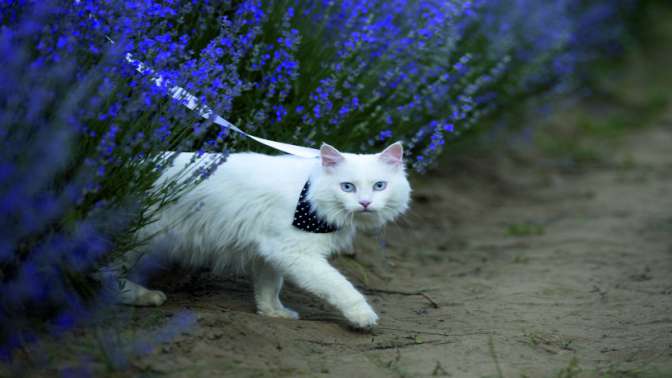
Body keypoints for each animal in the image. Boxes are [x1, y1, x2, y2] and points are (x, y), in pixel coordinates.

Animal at [115, 142, 410, 328]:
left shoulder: (271, 252)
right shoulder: (295, 253)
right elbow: (341, 286)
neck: (309, 194)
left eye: (379, 186)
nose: (365, 203)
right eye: (347, 187)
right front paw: (363, 316)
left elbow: (269, 288)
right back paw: (144, 297)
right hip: (134, 243)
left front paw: (273, 313)